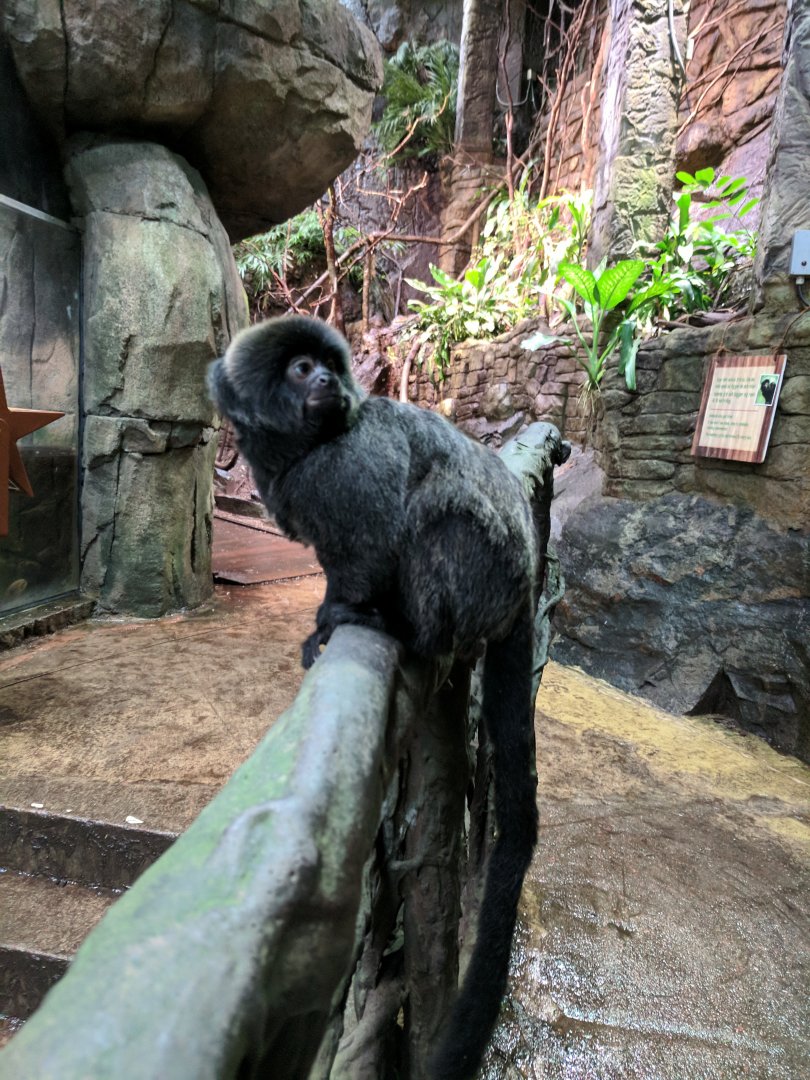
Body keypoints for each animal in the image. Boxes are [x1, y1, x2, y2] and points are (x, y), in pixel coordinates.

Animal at [208, 315, 539, 1080]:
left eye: (325, 366)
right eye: (302, 369)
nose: (330, 380)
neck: (304, 451)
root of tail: (523, 587)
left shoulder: (351, 460)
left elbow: (374, 541)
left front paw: (341, 618)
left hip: (480, 579)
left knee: (437, 521)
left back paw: (407, 630)